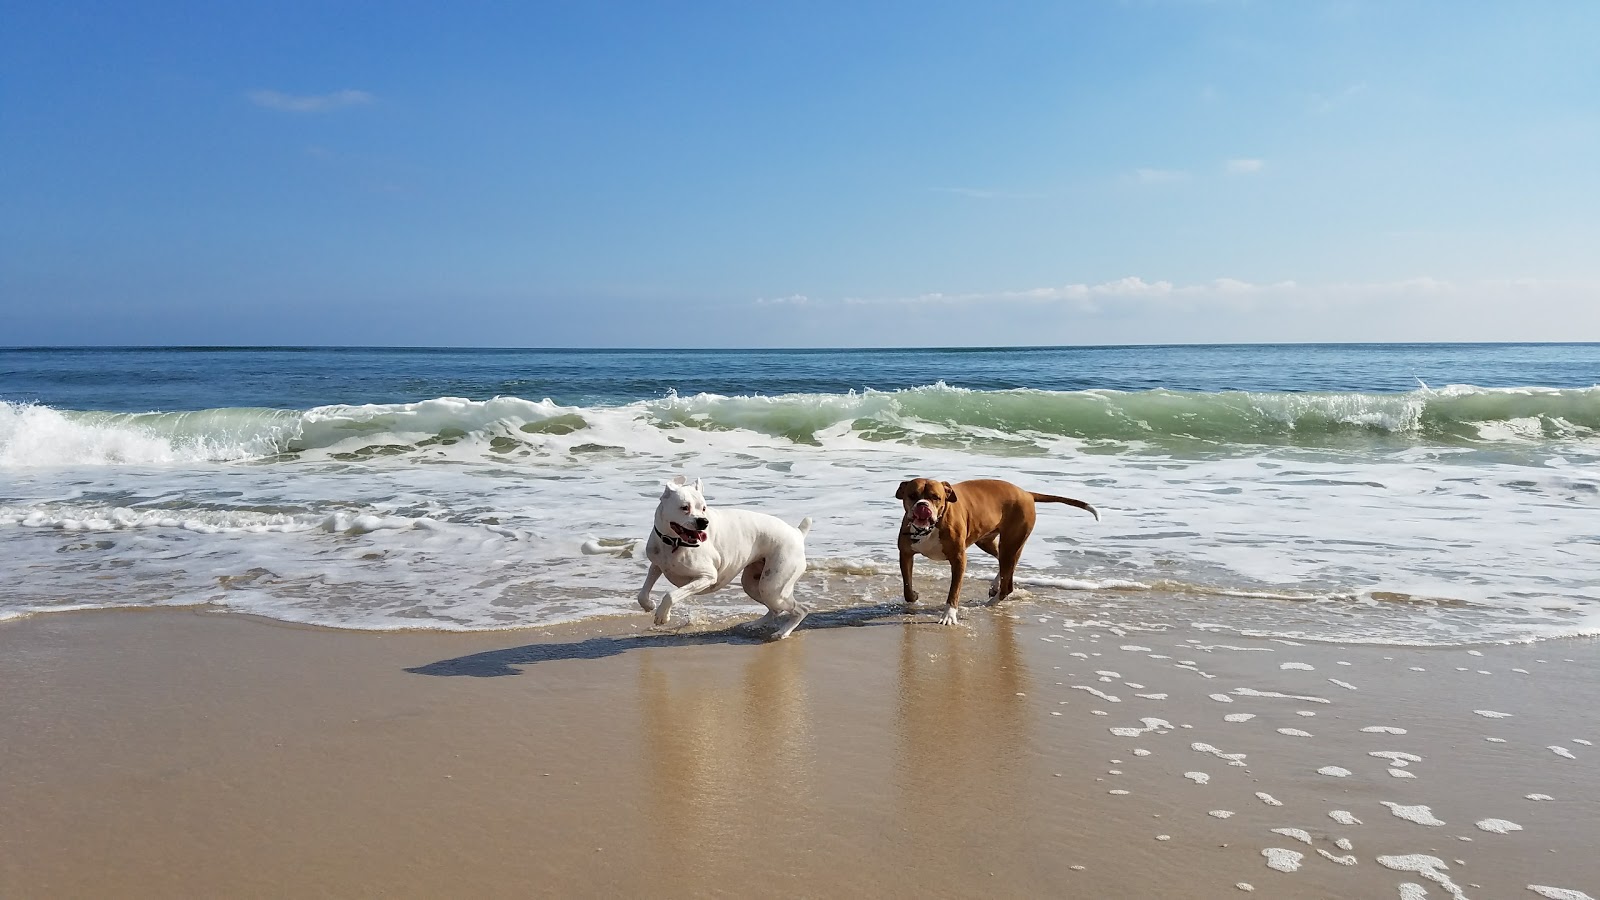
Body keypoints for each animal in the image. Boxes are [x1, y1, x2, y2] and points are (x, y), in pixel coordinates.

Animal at [636, 477, 812, 637]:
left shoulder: (707, 577)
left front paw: (662, 615)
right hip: (754, 585)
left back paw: (783, 632)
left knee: (800, 609)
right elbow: (642, 593)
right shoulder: (657, 565)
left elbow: (671, 595)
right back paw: (753, 624)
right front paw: (649, 605)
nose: (703, 521)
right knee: (776, 609)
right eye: (684, 507)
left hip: (773, 588)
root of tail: (797, 533)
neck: (673, 542)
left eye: (704, 508)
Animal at [889, 477, 1100, 624]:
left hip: (1011, 542)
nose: (922, 506)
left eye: (936, 497)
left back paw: (990, 603)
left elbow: (954, 591)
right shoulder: (905, 554)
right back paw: (995, 585)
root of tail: (1027, 493)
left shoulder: (958, 559)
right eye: (912, 495)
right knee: (1003, 564)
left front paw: (949, 615)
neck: (929, 528)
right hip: (988, 541)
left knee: (1008, 581)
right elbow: (907, 587)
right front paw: (914, 597)